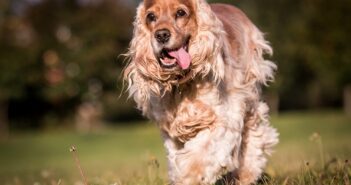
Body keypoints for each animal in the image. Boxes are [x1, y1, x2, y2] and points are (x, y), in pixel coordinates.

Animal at [125, 0, 280, 184]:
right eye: (151, 16)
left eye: (181, 13)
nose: (161, 35)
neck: (181, 83)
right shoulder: (171, 131)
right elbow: (176, 158)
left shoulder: (224, 118)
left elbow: (199, 157)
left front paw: (189, 178)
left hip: (250, 92)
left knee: (255, 132)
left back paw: (245, 174)